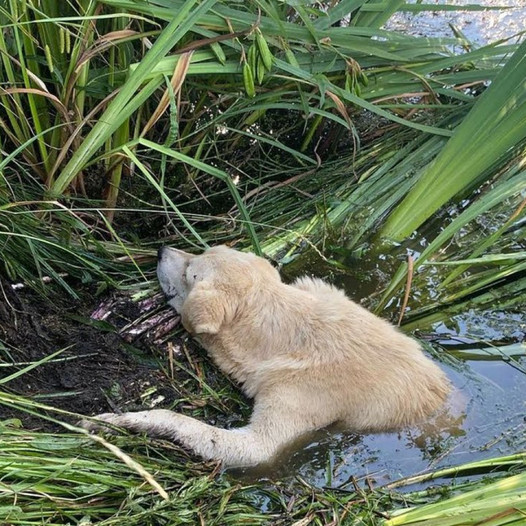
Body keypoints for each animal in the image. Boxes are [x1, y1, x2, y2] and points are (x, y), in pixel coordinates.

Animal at [81, 248, 450, 470]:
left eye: (190, 272)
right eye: (202, 250)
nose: (161, 250)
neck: (289, 331)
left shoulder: (293, 400)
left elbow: (199, 428)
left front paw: (114, 420)